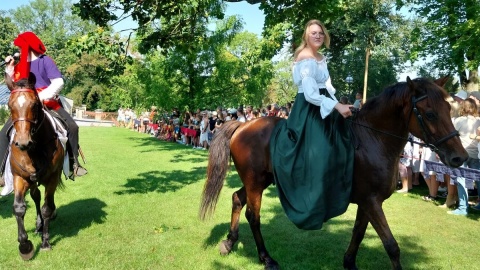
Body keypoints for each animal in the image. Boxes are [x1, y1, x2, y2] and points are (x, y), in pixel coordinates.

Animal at [3, 73, 64, 260]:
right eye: (10, 105)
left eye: (35, 104)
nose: (23, 142)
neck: (35, 149)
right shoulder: (20, 178)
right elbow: (19, 208)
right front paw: (24, 245)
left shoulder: (52, 178)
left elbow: (46, 208)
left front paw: (45, 243)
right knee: (36, 196)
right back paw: (38, 225)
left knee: (46, 202)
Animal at [199, 77, 468, 268]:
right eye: (430, 113)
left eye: (449, 109)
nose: (460, 157)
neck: (373, 139)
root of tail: (242, 125)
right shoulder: (372, 201)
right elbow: (391, 245)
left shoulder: (368, 202)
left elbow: (358, 233)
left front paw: (349, 263)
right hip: (255, 182)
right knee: (253, 216)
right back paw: (266, 258)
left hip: (259, 180)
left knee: (237, 198)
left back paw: (229, 241)